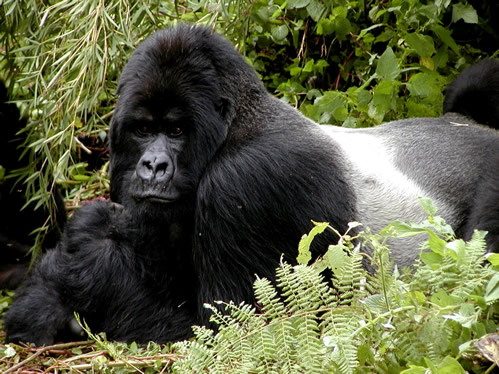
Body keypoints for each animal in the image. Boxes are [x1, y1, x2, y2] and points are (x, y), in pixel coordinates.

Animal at [3, 25, 499, 344]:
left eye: (176, 131)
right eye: (144, 129)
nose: (152, 166)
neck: (236, 128)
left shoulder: (244, 183)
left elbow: (230, 330)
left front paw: (90, 254)